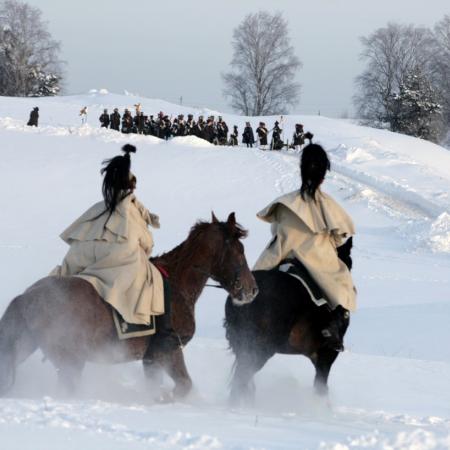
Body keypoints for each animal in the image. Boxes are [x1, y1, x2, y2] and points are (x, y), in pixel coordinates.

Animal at [0, 213, 256, 400]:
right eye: (238, 251)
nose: (251, 290)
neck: (177, 284)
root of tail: (26, 297)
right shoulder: (169, 351)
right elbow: (183, 385)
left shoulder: (153, 359)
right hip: (70, 360)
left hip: (28, 346)